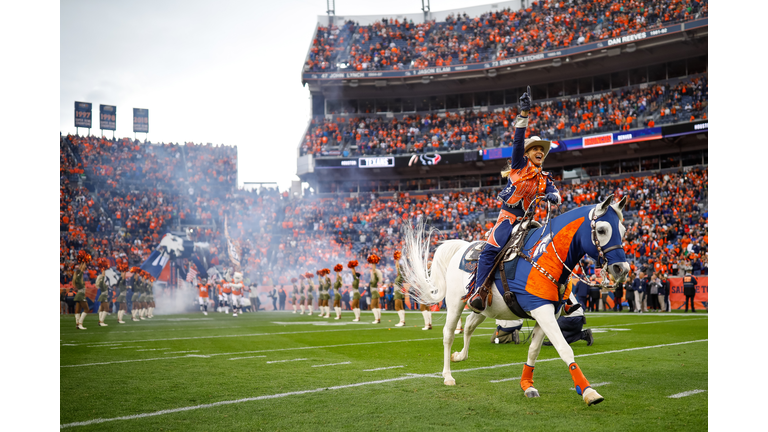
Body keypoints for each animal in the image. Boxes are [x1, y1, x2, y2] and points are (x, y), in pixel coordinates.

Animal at [402, 196, 632, 404]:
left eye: (623, 231)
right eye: (601, 230)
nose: (622, 269)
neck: (544, 256)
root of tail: (462, 247)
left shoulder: (547, 313)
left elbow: (533, 350)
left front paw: (527, 385)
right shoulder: (541, 310)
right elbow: (564, 348)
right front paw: (588, 392)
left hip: (484, 308)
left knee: (468, 326)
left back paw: (460, 356)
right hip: (455, 304)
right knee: (449, 334)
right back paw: (448, 375)